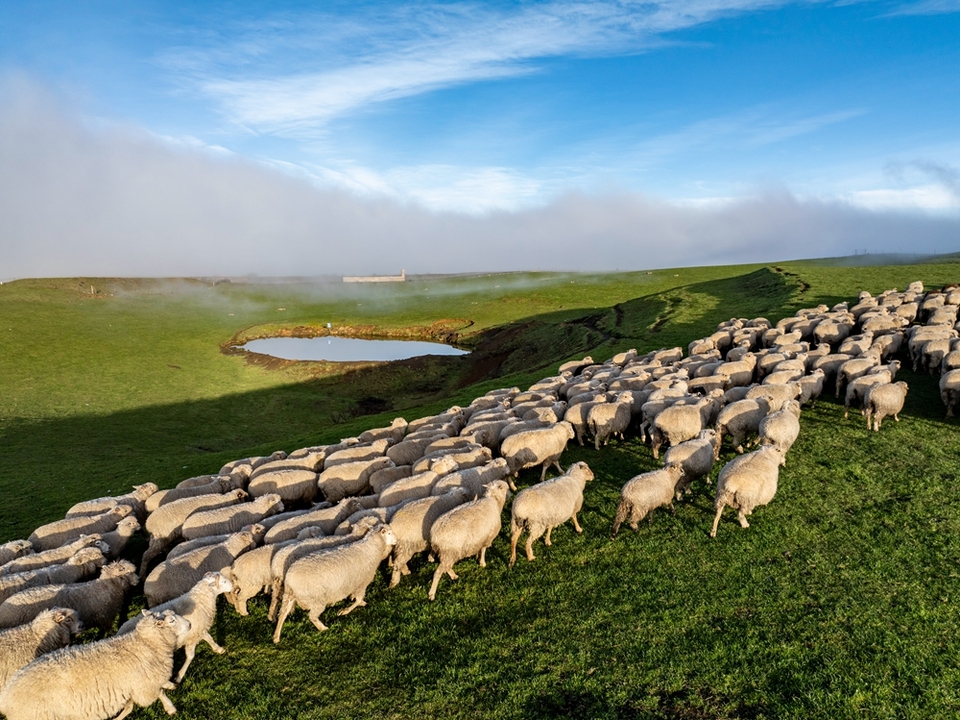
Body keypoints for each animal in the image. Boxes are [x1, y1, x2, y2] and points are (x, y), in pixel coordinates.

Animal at [0, 608, 191, 720]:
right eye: (172, 621)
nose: (189, 624)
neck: (145, 643)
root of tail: (6, 696)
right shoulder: (144, 684)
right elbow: (159, 693)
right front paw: (171, 707)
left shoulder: (139, 685)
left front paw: (170, 688)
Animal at [270, 524, 398, 640]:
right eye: (389, 533)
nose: (396, 541)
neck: (372, 547)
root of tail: (290, 577)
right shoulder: (362, 583)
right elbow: (358, 600)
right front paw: (345, 611)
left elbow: (356, 598)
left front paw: (354, 602)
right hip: (317, 599)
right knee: (312, 616)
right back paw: (323, 628)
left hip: (289, 595)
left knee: (283, 613)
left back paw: (276, 636)